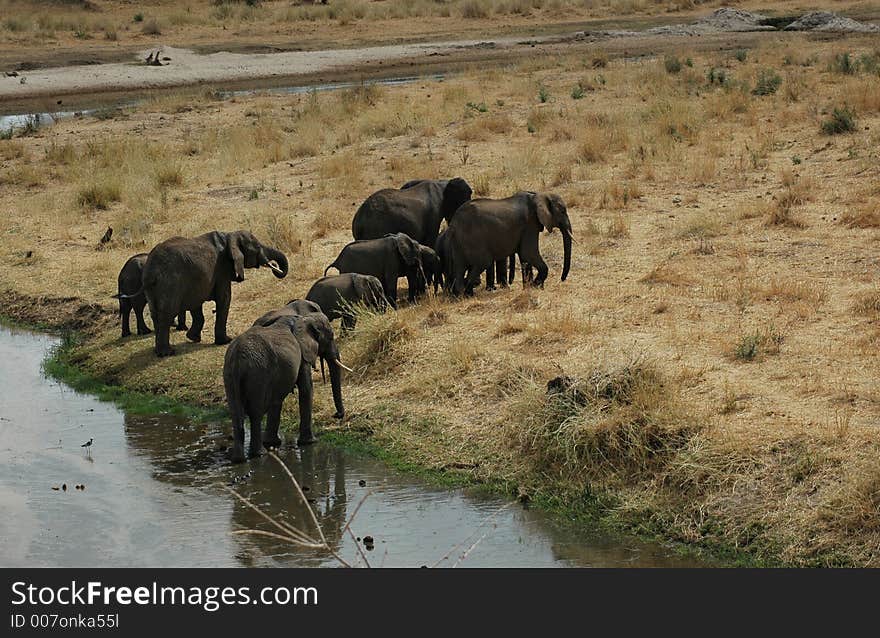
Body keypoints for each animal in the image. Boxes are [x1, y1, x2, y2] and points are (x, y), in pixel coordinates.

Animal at [138, 231, 288, 360]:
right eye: (257, 247)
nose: (275, 266)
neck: (229, 235)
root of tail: (151, 272)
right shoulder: (222, 269)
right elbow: (224, 299)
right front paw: (226, 341)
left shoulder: (196, 281)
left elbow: (196, 304)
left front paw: (193, 338)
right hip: (170, 283)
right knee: (167, 314)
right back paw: (167, 353)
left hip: (154, 288)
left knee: (155, 314)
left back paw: (158, 351)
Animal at [223, 312, 344, 462]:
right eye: (331, 336)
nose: (336, 415)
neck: (304, 318)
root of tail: (237, 358)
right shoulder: (302, 353)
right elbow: (306, 389)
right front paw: (310, 443)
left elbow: (277, 400)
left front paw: (272, 442)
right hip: (258, 373)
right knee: (255, 413)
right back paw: (259, 454)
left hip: (230, 375)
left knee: (236, 413)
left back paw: (239, 459)